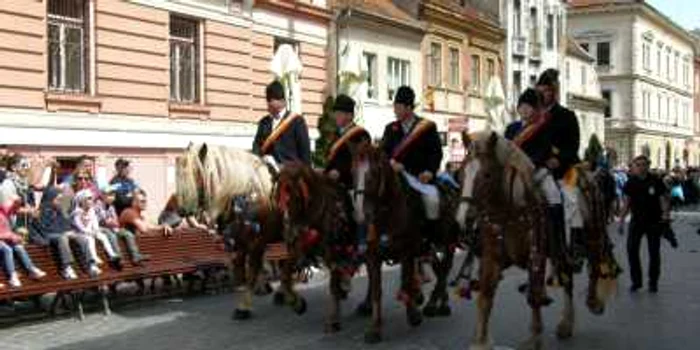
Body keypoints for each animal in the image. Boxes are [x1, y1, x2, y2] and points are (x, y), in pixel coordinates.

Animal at [176, 142, 284, 320]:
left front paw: (244, 307)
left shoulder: (255, 245)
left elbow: (250, 275)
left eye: (197, 174)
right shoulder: (239, 247)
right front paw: (245, 303)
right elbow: (241, 276)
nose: (182, 211)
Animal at [350, 144, 464, 344]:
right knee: (439, 268)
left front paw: (413, 314)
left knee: (445, 268)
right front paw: (375, 329)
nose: (361, 213)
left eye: (374, 172)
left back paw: (433, 305)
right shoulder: (373, 256)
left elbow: (405, 280)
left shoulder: (406, 251)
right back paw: (441, 303)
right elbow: (377, 290)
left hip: (447, 240)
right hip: (429, 246)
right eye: (352, 171)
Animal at [460, 131, 616, 350]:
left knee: (594, 265)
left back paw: (593, 303)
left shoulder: (536, 255)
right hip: (562, 250)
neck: (511, 212)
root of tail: (587, 173)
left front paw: (534, 337)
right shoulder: (492, 257)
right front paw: (481, 341)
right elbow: (485, 294)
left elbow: (534, 295)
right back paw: (566, 324)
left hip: (593, 233)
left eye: (487, 175)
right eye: (460, 173)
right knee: (568, 279)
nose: (464, 218)